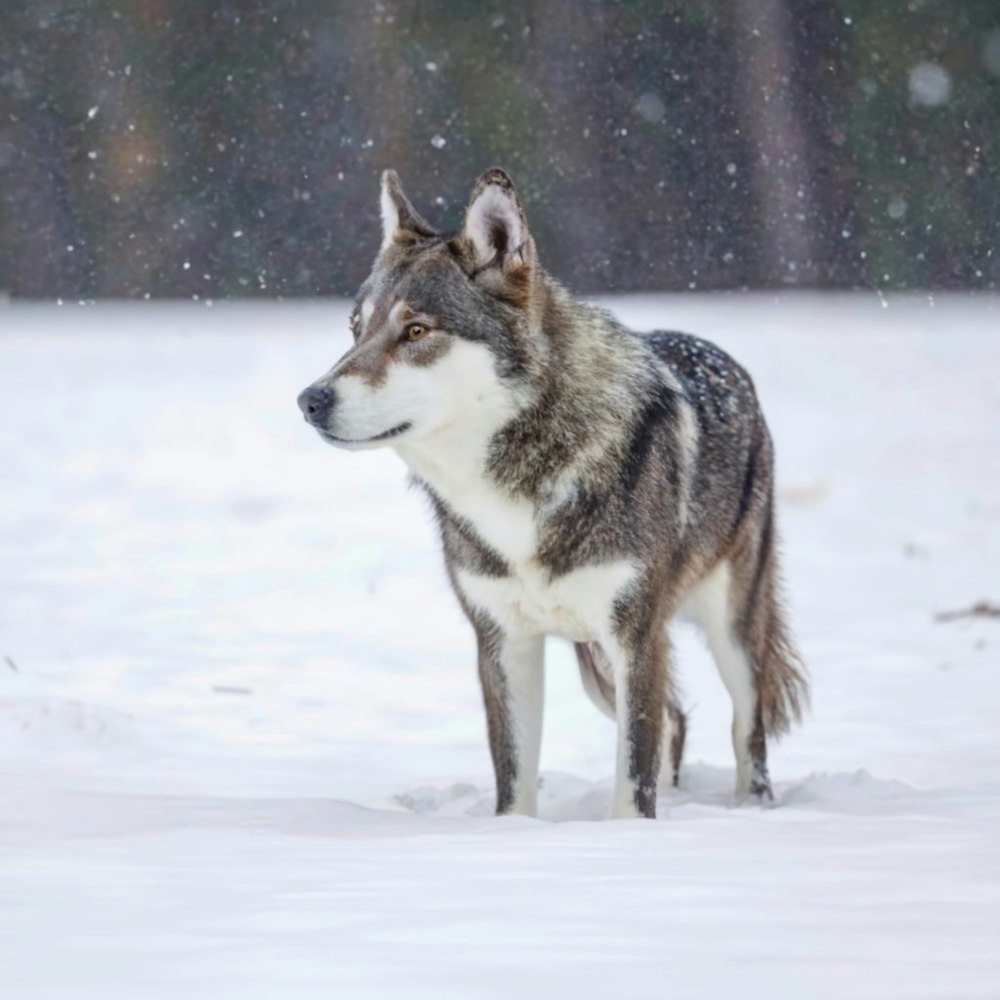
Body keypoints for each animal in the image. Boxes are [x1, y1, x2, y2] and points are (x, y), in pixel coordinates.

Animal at [294, 168, 804, 816]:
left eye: (416, 330)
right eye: (356, 329)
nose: (309, 400)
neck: (518, 482)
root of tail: (727, 362)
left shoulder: (636, 639)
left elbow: (632, 780)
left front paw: (635, 834)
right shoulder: (502, 644)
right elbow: (514, 780)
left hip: (728, 632)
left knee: (746, 729)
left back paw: (751, 809)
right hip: (599, 667)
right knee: (676, 723)